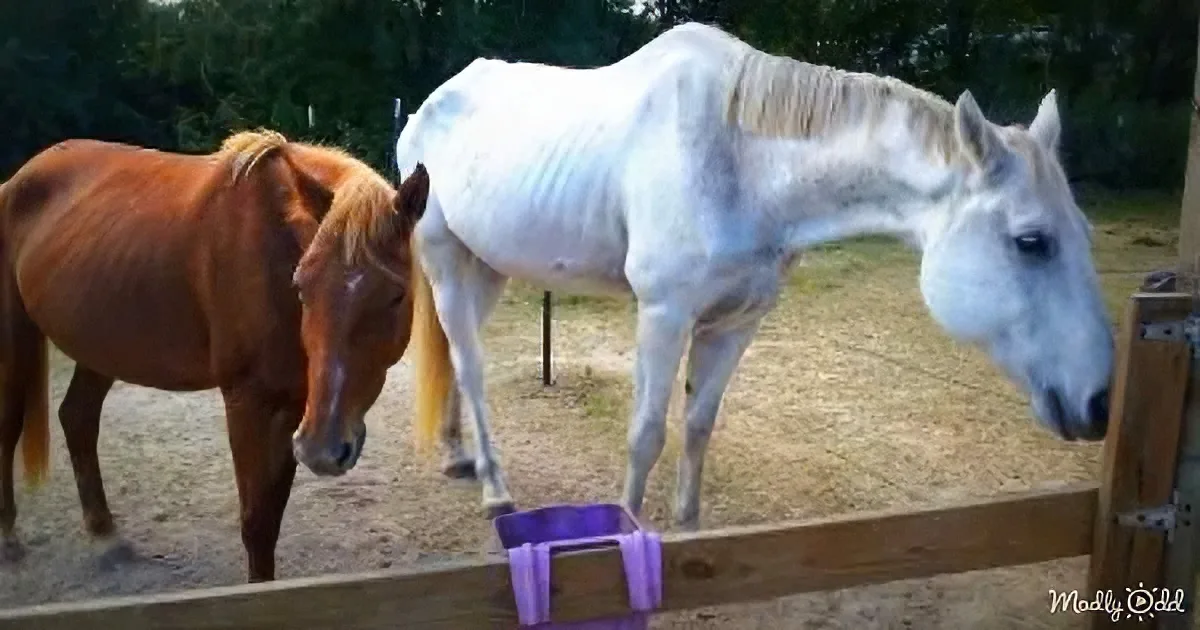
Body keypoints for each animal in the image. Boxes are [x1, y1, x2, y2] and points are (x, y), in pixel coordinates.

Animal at [0, 130, 429, 581]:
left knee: (78, 418)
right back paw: (9, 538)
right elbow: (256, 523)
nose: (322, 449)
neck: (271, 241)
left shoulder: (294, 405)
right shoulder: (247, 401)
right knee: (10, 424)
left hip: (101, 345)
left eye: (396, 295)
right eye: (302, 286)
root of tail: (18, 179)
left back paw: (105, 537)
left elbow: (272, 514)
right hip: (16, 339)